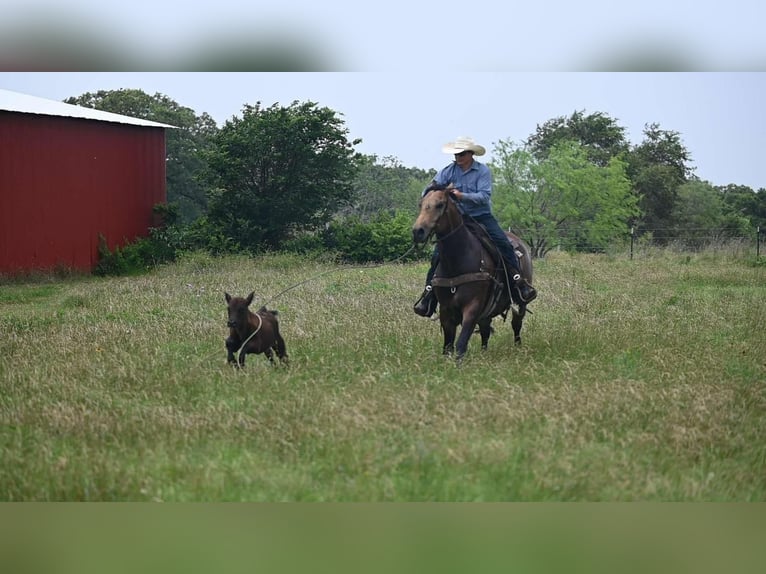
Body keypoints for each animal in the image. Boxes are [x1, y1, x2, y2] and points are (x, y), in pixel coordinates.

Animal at [414, 187, 536, 362]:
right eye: (421, 204)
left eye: (440, 204)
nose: (418, 231)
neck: (458, 261)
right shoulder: (446, 311)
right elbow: (448, 346)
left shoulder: (472, 308)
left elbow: (461, 343)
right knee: (485, 331)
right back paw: (484, 353)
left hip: (521, 303)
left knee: (516, 324)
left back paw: (518, 348)